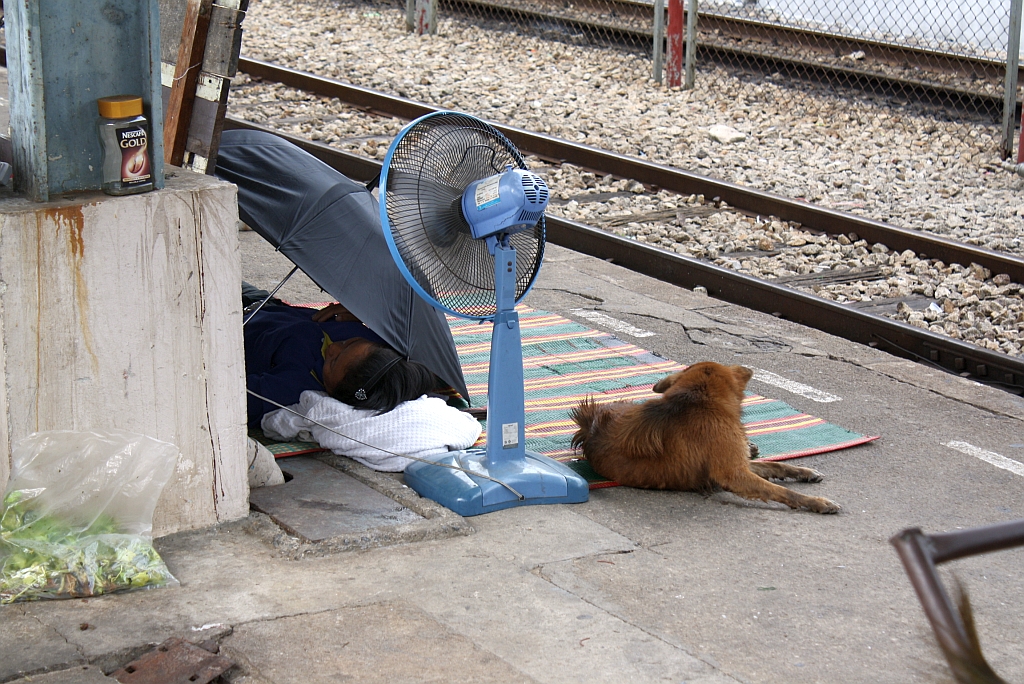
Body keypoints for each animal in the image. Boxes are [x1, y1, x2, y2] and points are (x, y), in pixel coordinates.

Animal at [569, 362, 839, 511]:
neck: (701, 401)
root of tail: (588, 424)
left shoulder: (734, 464)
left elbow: (777, 466)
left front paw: (804, 472)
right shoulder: (733, 474)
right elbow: (783, 492)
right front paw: (818, 503)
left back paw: (752, 446)